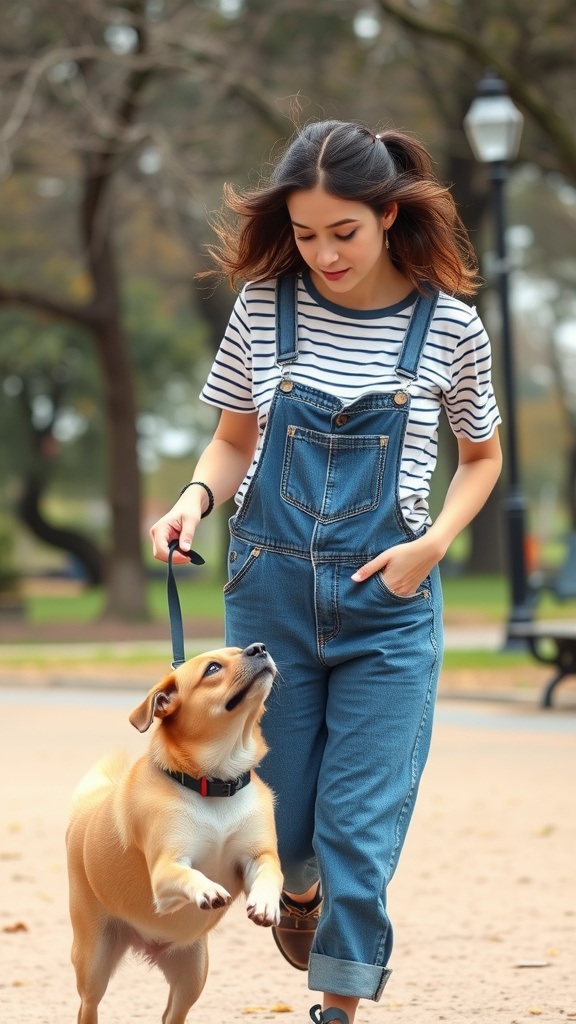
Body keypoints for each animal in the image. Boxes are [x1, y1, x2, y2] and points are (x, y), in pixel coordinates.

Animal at [66, 638, 280, 1024]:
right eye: (212, 668)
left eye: (241, 648)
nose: (258, 647)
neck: (214, 785)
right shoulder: (167, 868)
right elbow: (187, 874)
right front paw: (207, 888)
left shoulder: (260, 856)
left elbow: (271, 875)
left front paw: (266, 903)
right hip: (94, 964)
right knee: (88, 1006)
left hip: (192, 975)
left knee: (171, 1015)